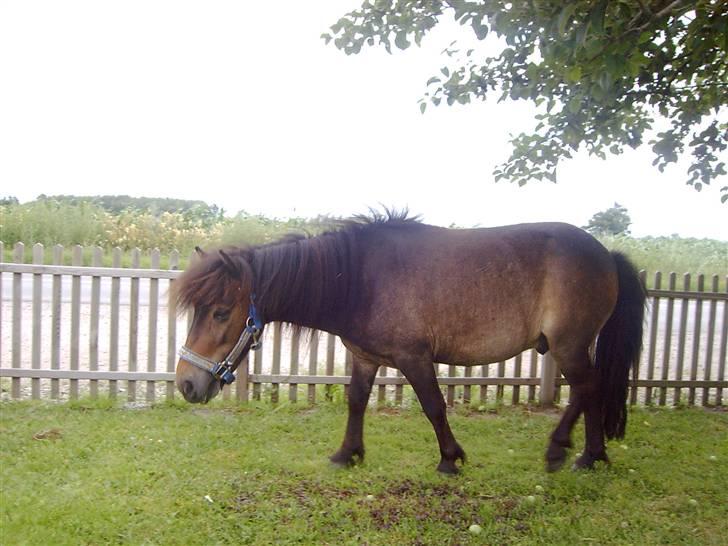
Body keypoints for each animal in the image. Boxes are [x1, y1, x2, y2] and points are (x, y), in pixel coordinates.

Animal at [173, 212, 644, 472]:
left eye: (220, 312)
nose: (186, 384)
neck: (359, 278)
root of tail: (607, 254)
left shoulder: (414, 358)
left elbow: (434, 406)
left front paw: (450, 459)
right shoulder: (364, 358)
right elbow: (356, 402)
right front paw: (347, 454)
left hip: (568, 345)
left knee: (588, 389)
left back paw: (572, 453)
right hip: (568, 347)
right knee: (587, 391)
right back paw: (581, 455)